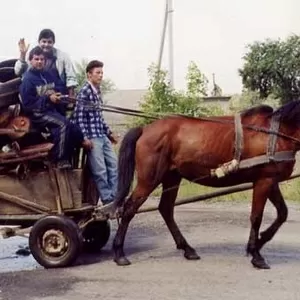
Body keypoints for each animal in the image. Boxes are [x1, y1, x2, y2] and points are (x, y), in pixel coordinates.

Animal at [111, 101, 300, 270]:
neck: (277, 133)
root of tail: (145, 129)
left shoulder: (271, 181)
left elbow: (282, 213)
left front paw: (260, 241)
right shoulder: (263, 181)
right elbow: (256, 217)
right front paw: (256, 254)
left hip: (172, 177)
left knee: (165, 208)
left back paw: (187, 249)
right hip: (149, 180)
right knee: (129, 209)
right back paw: (119, 253)